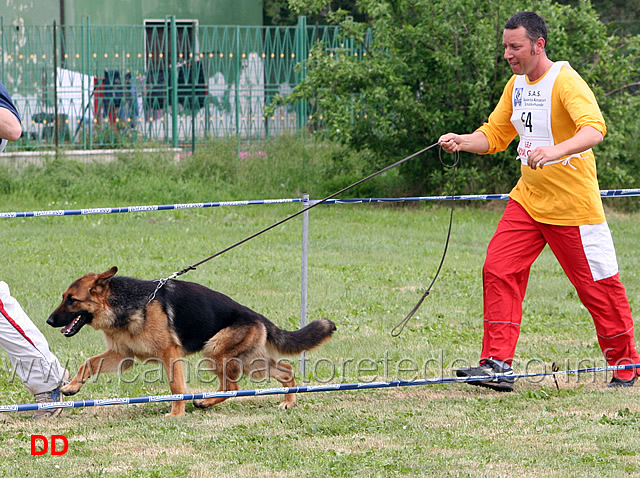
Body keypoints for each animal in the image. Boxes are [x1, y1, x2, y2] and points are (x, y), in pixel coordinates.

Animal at [46, 268, 336, 416]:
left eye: (72, 299)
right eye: (63, 297)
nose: (49, 321)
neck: (126, 303)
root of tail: (255, 315)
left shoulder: (169, 354)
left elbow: (176, 385)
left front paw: (176, 413)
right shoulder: (122, 356)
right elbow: (88, 363)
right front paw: (71, 387)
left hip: (218, 352)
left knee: (233, 386)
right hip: (246, 361)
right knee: (282, 370)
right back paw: (287, 400)